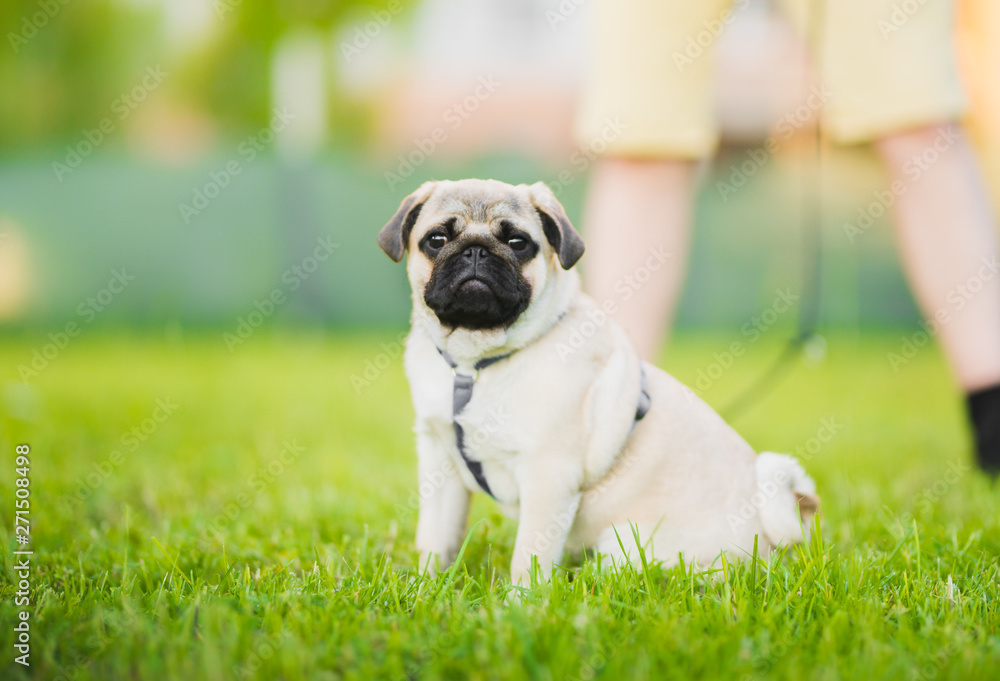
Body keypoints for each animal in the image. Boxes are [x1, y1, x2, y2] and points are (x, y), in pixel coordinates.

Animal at [378, 177, 816, 584]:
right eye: (436, 240)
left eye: (518, 243)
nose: (475, 250)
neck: (475, 365)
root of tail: (769, 539)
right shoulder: (440, 461)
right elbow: (435, 538)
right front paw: (426, 587)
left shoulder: (549, 477)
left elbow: (529, 557)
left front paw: (521, 602)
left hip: (623, 544)